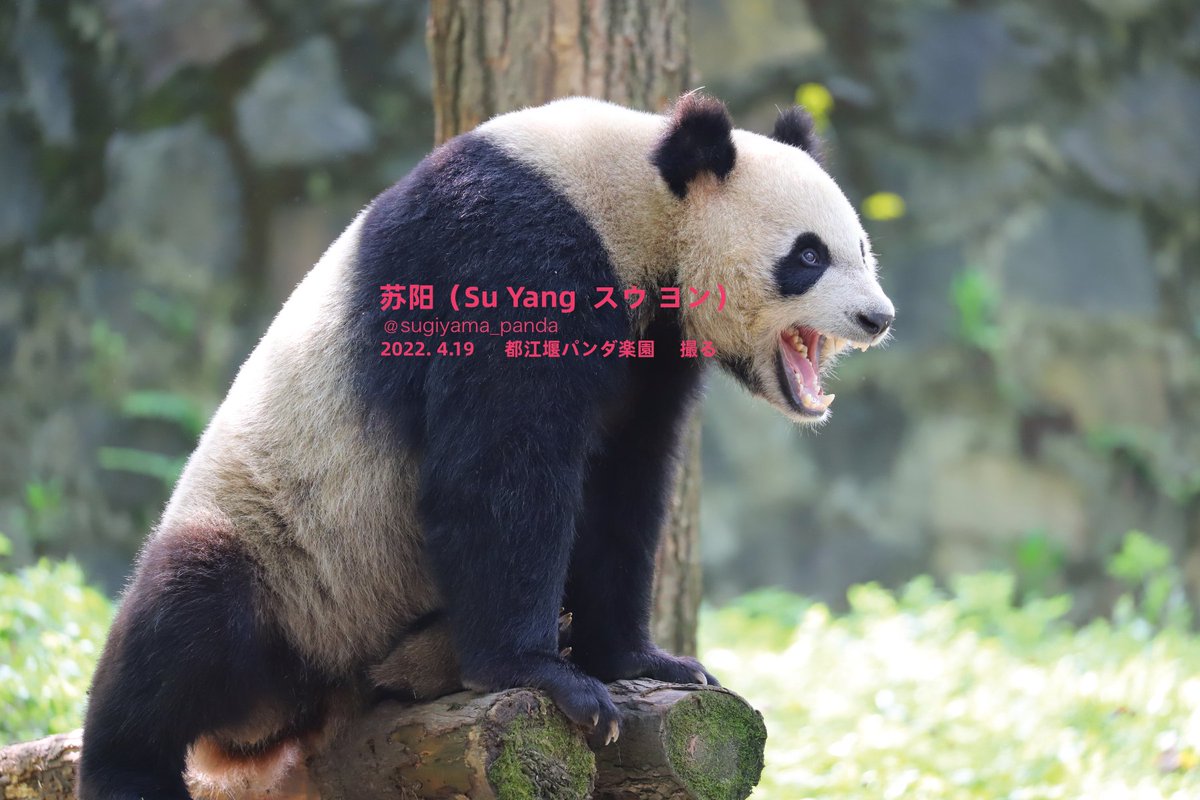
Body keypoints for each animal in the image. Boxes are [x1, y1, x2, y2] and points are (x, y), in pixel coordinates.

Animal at [78, 92, 894, 799]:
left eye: (861, 246)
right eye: (808, 256)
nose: (877, 317)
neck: (635, 200)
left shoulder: (650, 351)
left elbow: (622, 488)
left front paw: (644, 659)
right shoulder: (511, 251)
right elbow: (501, 467)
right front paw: (545, 676)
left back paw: (426, 664)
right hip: (280, 551)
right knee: (183, 623)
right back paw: (130, 766)